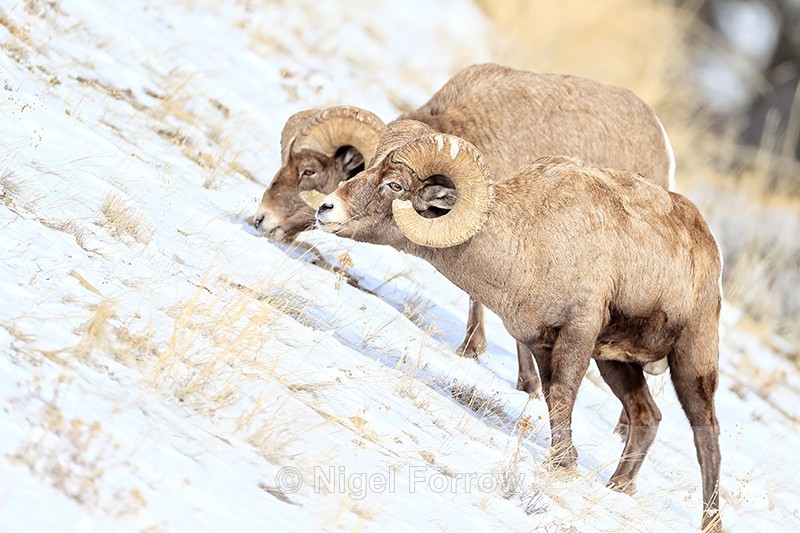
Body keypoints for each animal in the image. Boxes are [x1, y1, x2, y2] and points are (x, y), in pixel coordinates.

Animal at [314, 120, 723, 531]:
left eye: (395, 185)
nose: (325, 209)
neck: (527, 243)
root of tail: (708, 244)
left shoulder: (578, 332)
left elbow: (562, 394)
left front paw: (563, 464)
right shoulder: (540, 343)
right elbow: (552, 399)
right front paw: (562, 461)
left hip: (690, 365)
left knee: (707, 435)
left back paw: (710, 520)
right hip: (616, 364)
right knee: (647, 417)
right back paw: (618, 487)